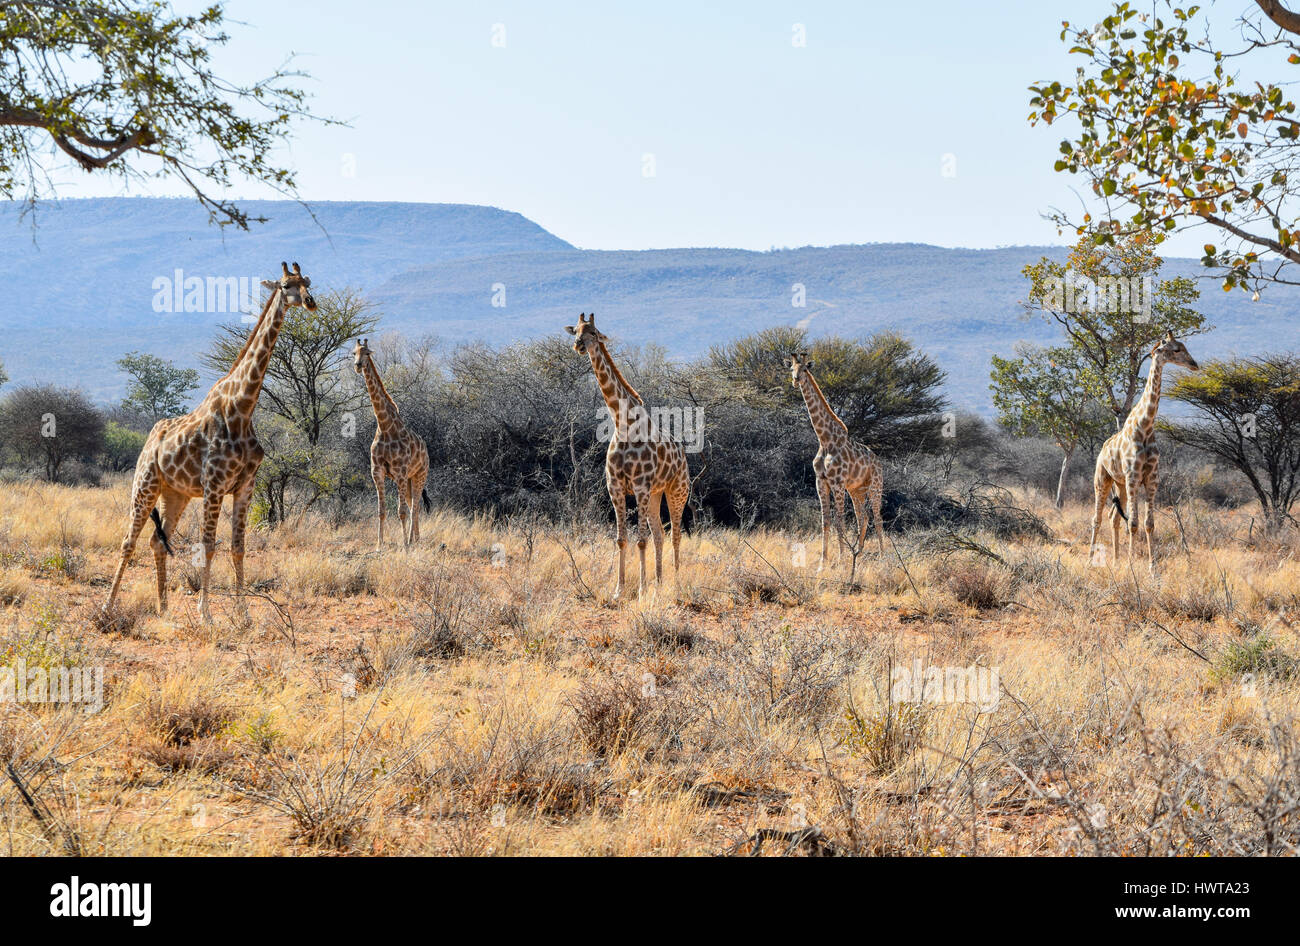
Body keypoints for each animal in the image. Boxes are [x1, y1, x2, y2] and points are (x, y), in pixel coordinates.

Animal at [102, 262, 317, 624]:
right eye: (286, 285)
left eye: (309, 282)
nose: (311, 302)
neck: (243, 408)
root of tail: (151, 437)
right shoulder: (214, 485)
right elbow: (209, 545)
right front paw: (206, 614)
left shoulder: (245, 485)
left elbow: (238, 547)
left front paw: (243, 614)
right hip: (145, 484)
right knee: (127, 542)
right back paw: (107, 607)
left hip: (176, 494)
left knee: (157, 541)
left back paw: (163, 608)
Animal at [352, 338, 430, 548]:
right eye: (353, 353)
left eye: (367, 353)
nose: (358, 365)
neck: (385, 426)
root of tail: (426, 450)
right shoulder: (377, 472)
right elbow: (381, 511)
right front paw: (379, 545)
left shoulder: (400, 472)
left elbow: (400, 511)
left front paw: (404, 546)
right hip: (409, 479)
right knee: (413, 506)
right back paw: (415, 539)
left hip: (419, 475)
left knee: (415, 507)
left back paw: (412, 541)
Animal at [565, 313, 691, 599]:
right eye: (575, 330)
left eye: (593, 332)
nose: (579, 345)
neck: (622, 422)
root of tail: (683, 456)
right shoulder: (616, 487)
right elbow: (622, 539)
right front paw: (619, 590)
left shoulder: (640, 486)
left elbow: (640, 540)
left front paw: (641, 590)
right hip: (657, 494)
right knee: (660, 534)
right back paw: (659, 583)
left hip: (677, 491)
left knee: (676, 534)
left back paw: (676, 583)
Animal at [789, 352, 885, 569]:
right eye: (791, 369)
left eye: (805, 369)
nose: (796, 380)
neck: (825, 439)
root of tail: (878, 462)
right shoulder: (821, 481)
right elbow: (825, 521)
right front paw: (823, 562)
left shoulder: (837, 482)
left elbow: (839, 520)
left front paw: (841, 559)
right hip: (857, 490)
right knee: (863, 516)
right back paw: (859, 552)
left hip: (875, 486)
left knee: (877, 517)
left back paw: (884, 556)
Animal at [1089, 331, 1199, 572]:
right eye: (1176, 349)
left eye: (1185, 346)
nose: (1194, 365)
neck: (1146, 426)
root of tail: (1102, 449)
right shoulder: (1133, 475)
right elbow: (1133, 523)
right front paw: (1131, 565)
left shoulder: (1151, 477)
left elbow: (1149, 524)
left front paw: (1152, 568)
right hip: (1102, 480)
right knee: (1097, 519)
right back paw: (1090, 560)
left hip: (1119, 484)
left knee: (1113, 517)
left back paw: (1116, 561)